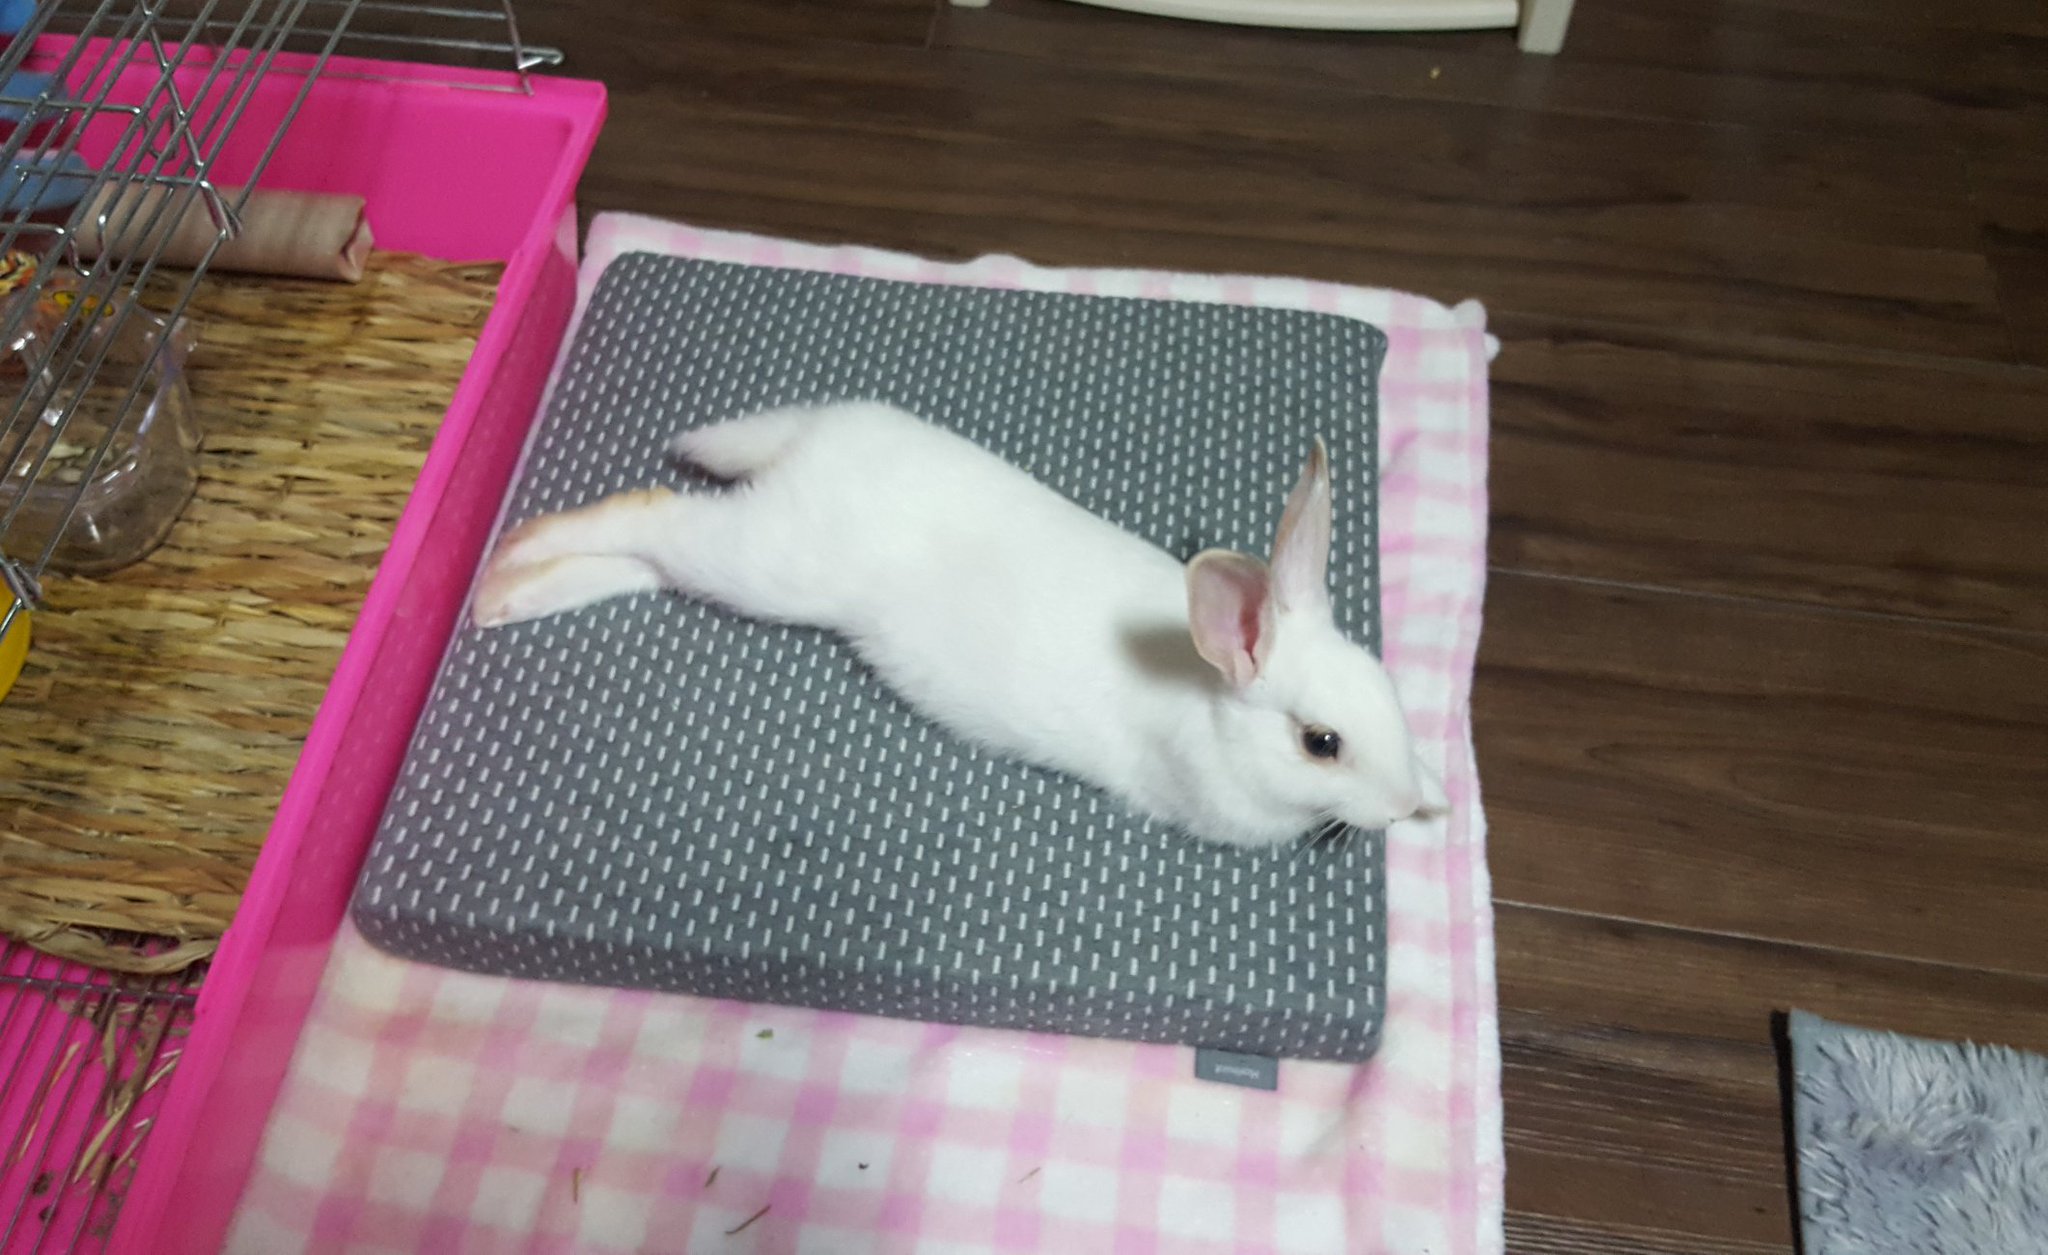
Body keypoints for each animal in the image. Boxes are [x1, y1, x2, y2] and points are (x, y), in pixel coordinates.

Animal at [473, 400, 1446, 848]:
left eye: (1387, 691)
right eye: (1321, 742)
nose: (1402, 807)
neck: (1206, 694)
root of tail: (812, 438)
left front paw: (1438, 791)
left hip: (735, 555)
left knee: (650, 553)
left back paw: (511, 592)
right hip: (767, 564)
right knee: (653, 511)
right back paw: (509, 560)